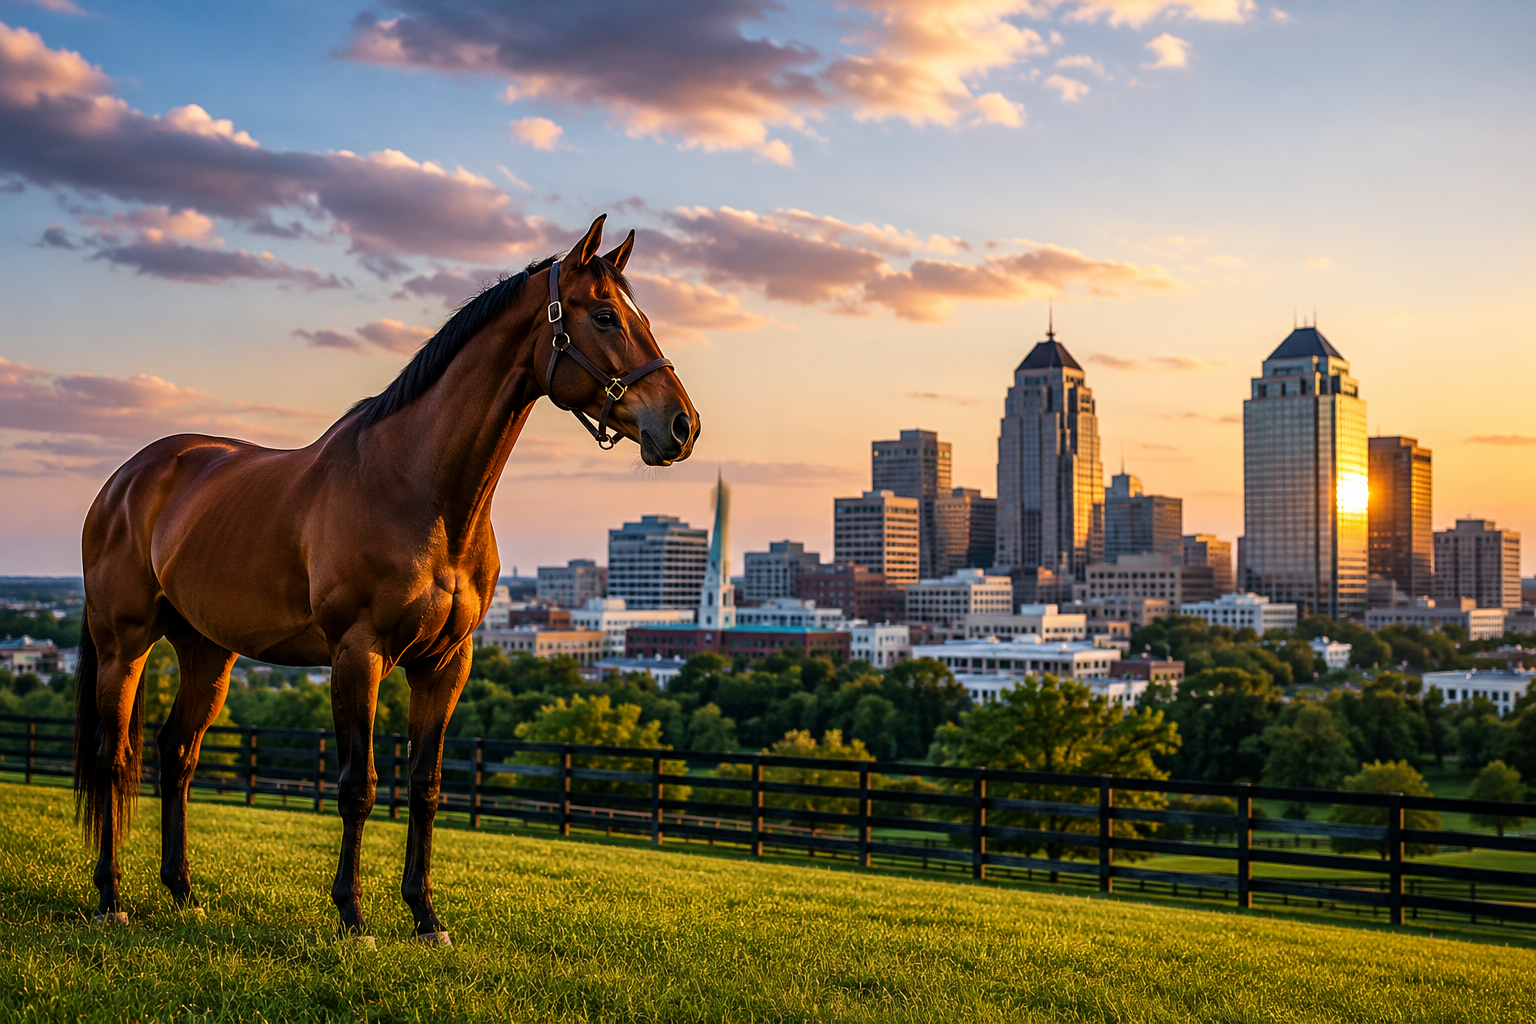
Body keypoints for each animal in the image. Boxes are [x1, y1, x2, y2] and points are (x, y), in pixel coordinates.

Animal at [72, 215, 698, 943]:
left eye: (640, 316)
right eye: (603, 316)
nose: (682, 425)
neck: (421, 490)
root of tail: (126, 480)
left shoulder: (446, 664)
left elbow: (425, 787)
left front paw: (426, 915)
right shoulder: (358, 654)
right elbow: (359, 784)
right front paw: (352, 913)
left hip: (207, 650)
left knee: (177, 755)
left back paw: (183, 891)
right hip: (124, 646)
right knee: (114, 759)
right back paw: (111, 896)